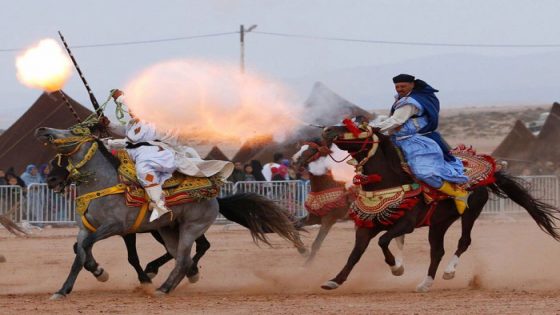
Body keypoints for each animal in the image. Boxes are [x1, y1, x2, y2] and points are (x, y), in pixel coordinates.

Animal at [35, 126, 304, 298]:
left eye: (72, 132)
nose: (51, 181)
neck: (104, 183)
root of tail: (215, 197)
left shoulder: (116, 228)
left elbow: (112, 253)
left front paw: (118, 275)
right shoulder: (85, 229)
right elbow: (80, 252)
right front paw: (66, 289)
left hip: (190, 228)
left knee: (186, 257)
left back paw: (164, 287)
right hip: (167, 230)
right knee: (181, 257)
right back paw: (178, 277)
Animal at [320, 117, 560, 292]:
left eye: (358, 127)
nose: (327, 130)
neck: (387, 182)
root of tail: (489, 172)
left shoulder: (405, 224)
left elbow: (383, 241)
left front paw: (397, 268)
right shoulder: (366, 225)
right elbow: (355, 253)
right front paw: (334, 280)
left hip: (470, 214)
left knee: (464, 241)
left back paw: (449, 272)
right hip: (439, 223)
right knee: (437, 250)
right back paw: (425, 283)